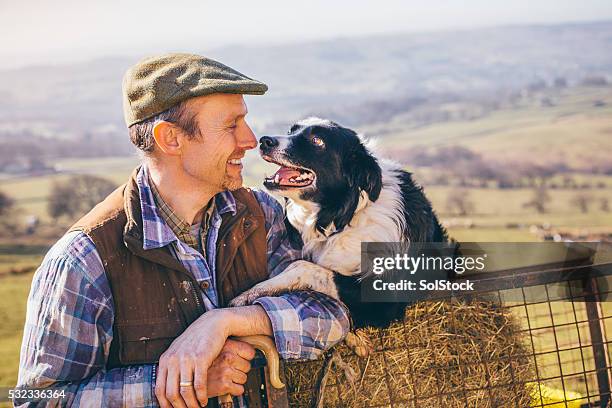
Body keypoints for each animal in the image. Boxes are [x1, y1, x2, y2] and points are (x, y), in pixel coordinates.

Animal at [232, 118, 448, 354]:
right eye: (292, 130)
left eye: (317, 141)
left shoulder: (383, 299)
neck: (346, 217)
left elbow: (303, 267)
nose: (265, 141)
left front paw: (248, 294)